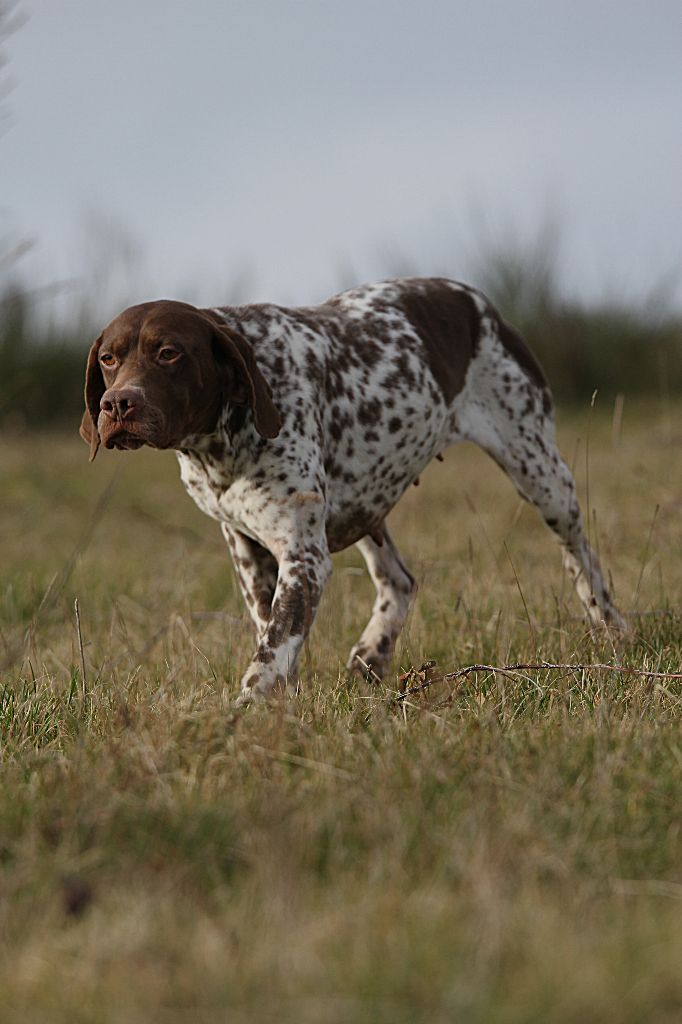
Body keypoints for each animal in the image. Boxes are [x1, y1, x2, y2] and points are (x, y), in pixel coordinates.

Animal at [79, 276, 622, 700]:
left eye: (168, 353)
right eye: (108, 358)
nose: (117, 404)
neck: (220, 444)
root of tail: (475, 300)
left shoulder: (303, 557)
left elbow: (270, 651)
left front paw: (246, 712)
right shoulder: (250, 553)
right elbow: (273, 637)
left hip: (541, 473)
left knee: (581, 557)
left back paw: (612, 631)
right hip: (366, 504)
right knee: (398, 580)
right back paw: (371, 655)